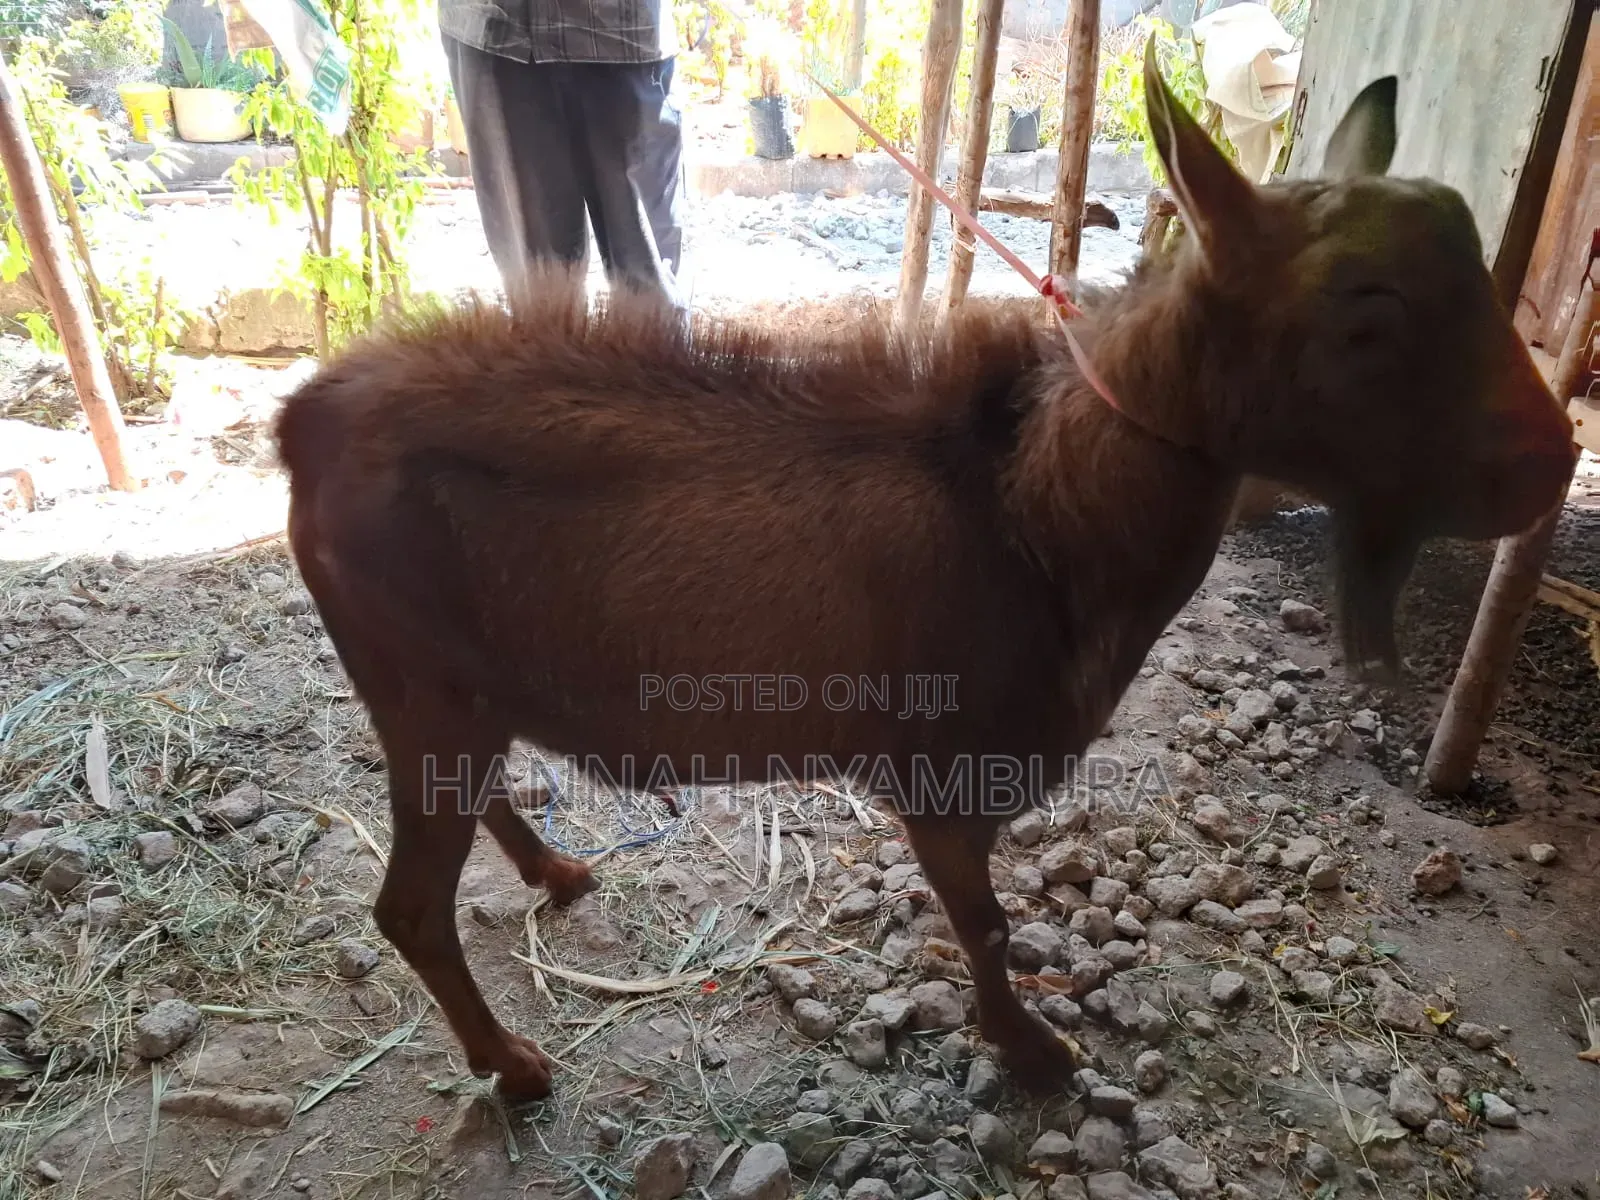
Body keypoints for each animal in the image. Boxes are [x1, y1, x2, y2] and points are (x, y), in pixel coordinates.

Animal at [274, 46, 1576, 1100]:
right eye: (1368, 307)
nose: (1553, 461)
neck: (1035, 513)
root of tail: (305, 420)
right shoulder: (943, 773)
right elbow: (987, 925)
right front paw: (1033, 1052)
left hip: (449, 684)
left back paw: (552, 871)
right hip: (421, 679)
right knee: (408, 906)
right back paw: (514, 1065)